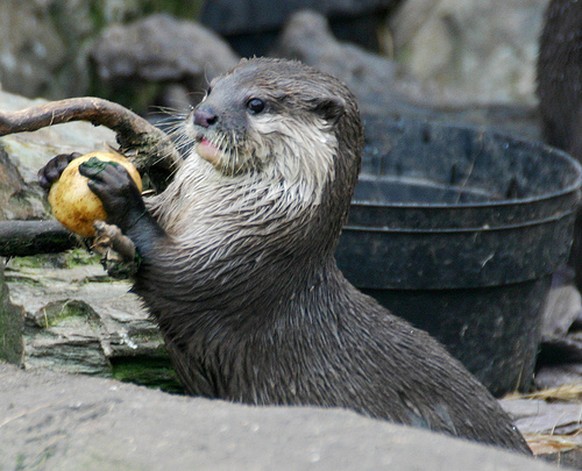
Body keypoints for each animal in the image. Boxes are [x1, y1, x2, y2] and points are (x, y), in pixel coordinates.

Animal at [40, 59, 532, 454]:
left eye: (256, 104)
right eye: (211, 88)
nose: (203, 115)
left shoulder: (237, 268)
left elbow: (173, 274)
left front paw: (120, 193)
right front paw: (55, 167)